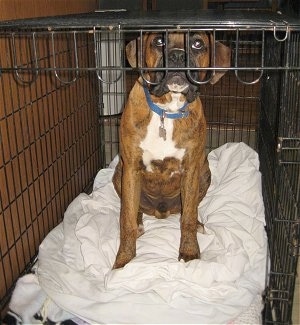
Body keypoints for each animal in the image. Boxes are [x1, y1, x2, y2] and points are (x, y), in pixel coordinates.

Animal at [112, 31, 230, 268]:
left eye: (197, 44)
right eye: (159, 41)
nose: (177, 55)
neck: (167, 110)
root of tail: (160, 212)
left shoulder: (191, 171)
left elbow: (188, 218)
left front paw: (190, 252)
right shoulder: (131, 169)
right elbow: (126, 220)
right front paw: (124, 261)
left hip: (204, 173)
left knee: (188, 210)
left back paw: (199, 224)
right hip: (119, 175)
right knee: (134, 211)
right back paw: (139, 223)